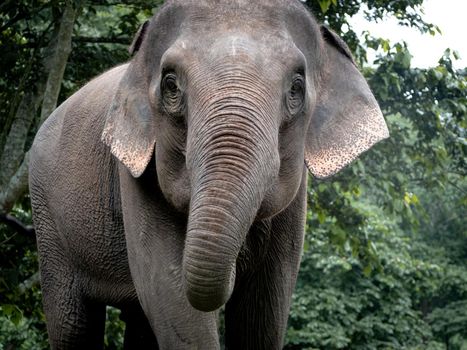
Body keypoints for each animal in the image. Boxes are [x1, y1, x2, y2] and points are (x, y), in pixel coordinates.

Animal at [28, 0, 388, 350]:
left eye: (297, 88)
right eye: (170, 84)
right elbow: (169, 291)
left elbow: (266, 306)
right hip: (48, 222)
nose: (238, 262)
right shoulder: (133, 174)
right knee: (73, 325)